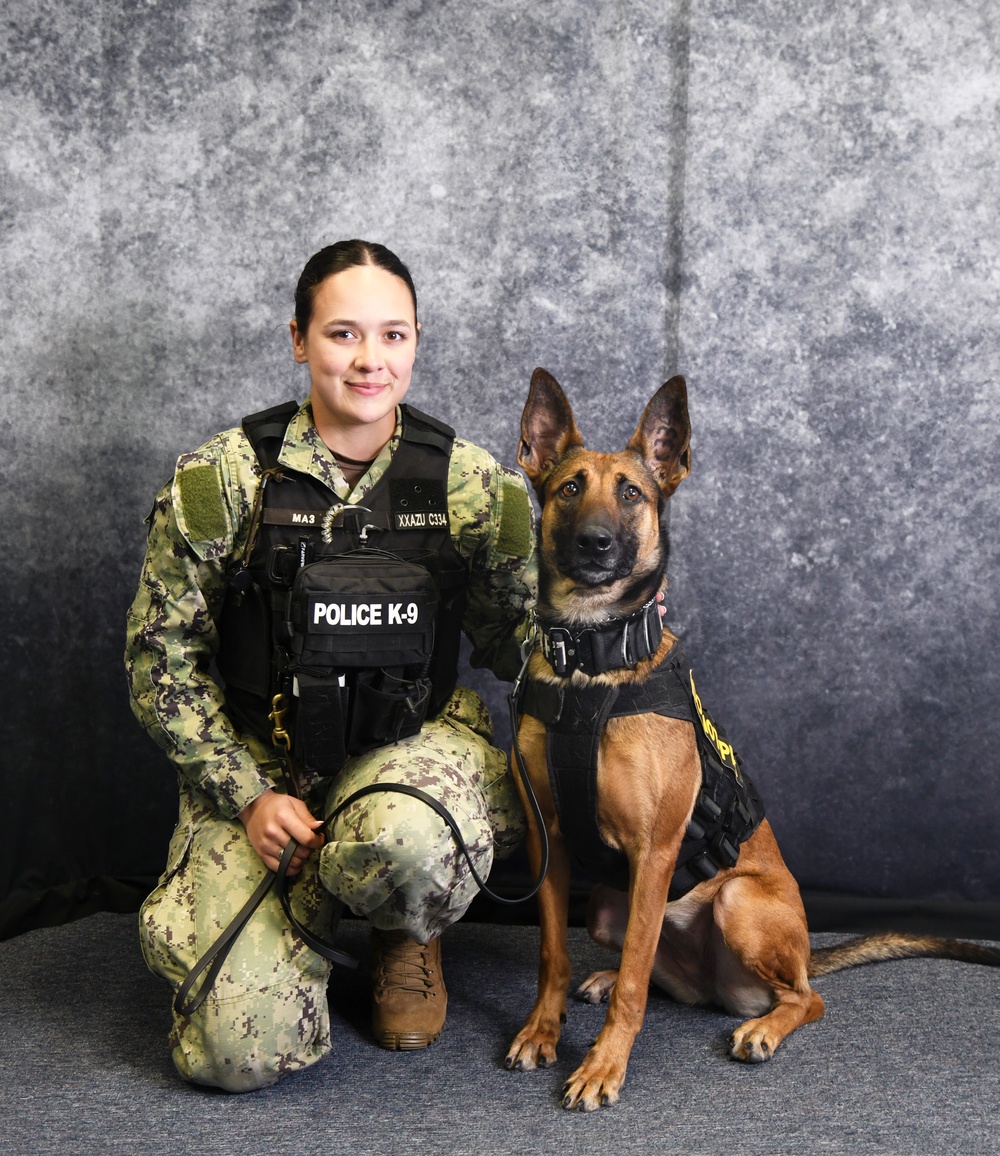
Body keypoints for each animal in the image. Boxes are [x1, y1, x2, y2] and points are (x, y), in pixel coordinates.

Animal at [506, 369, 998, 1109]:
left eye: (631, 494)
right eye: (569, 488)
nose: (595, 543)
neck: (594, 660)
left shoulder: (655, 851)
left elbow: (633, 985)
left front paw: (603, 1065)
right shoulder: (550, 844)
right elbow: (551, 954)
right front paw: (544, 1027)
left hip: (738, 903)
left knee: (803, 996)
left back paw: (763, 1028)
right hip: (610, 908)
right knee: (656, 970)